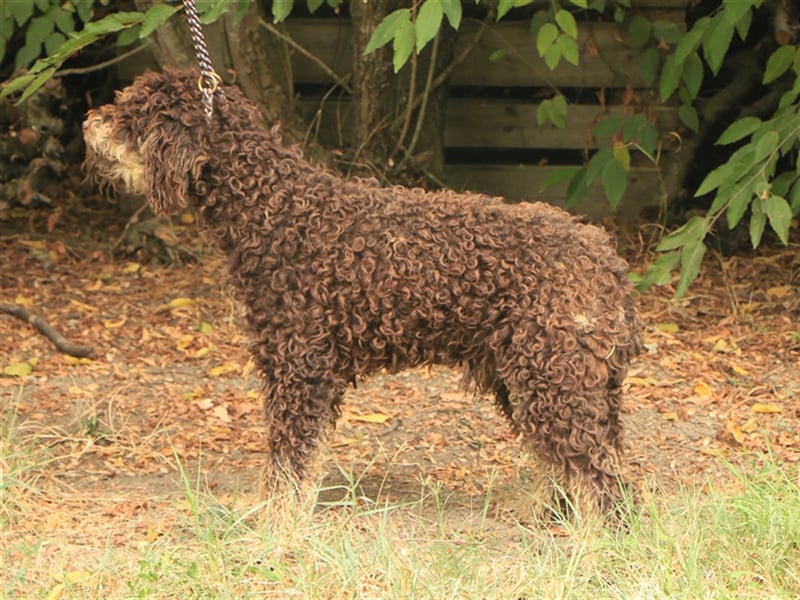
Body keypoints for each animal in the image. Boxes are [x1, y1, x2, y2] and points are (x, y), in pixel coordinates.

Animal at [83, 70, 644, 516]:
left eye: (133, 116)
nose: (89, 122)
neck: (274, 209)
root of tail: (609, 261)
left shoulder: (299, 366)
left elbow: (288, 462)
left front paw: (276, 527)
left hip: (553, 377)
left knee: (600, 474)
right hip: (547, 379)